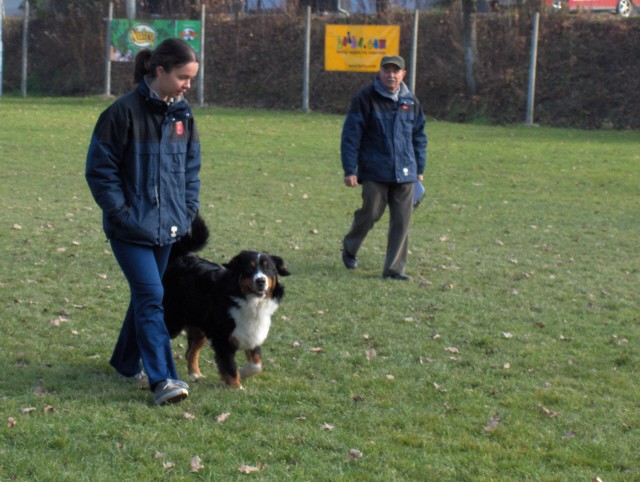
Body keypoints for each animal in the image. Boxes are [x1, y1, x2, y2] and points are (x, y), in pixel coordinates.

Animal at [162, 217, 290, 390]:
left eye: (268, 268)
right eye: (249, 269)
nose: (261, 281)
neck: (249, 302)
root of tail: (182, 256)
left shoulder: (252, 332)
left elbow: (257, 364)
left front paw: (243, 372)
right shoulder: (222, 338)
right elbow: (229, 366)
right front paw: (236, 387)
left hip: (200, 326)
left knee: (191, 351)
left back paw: (195, 374)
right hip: (173, 320)